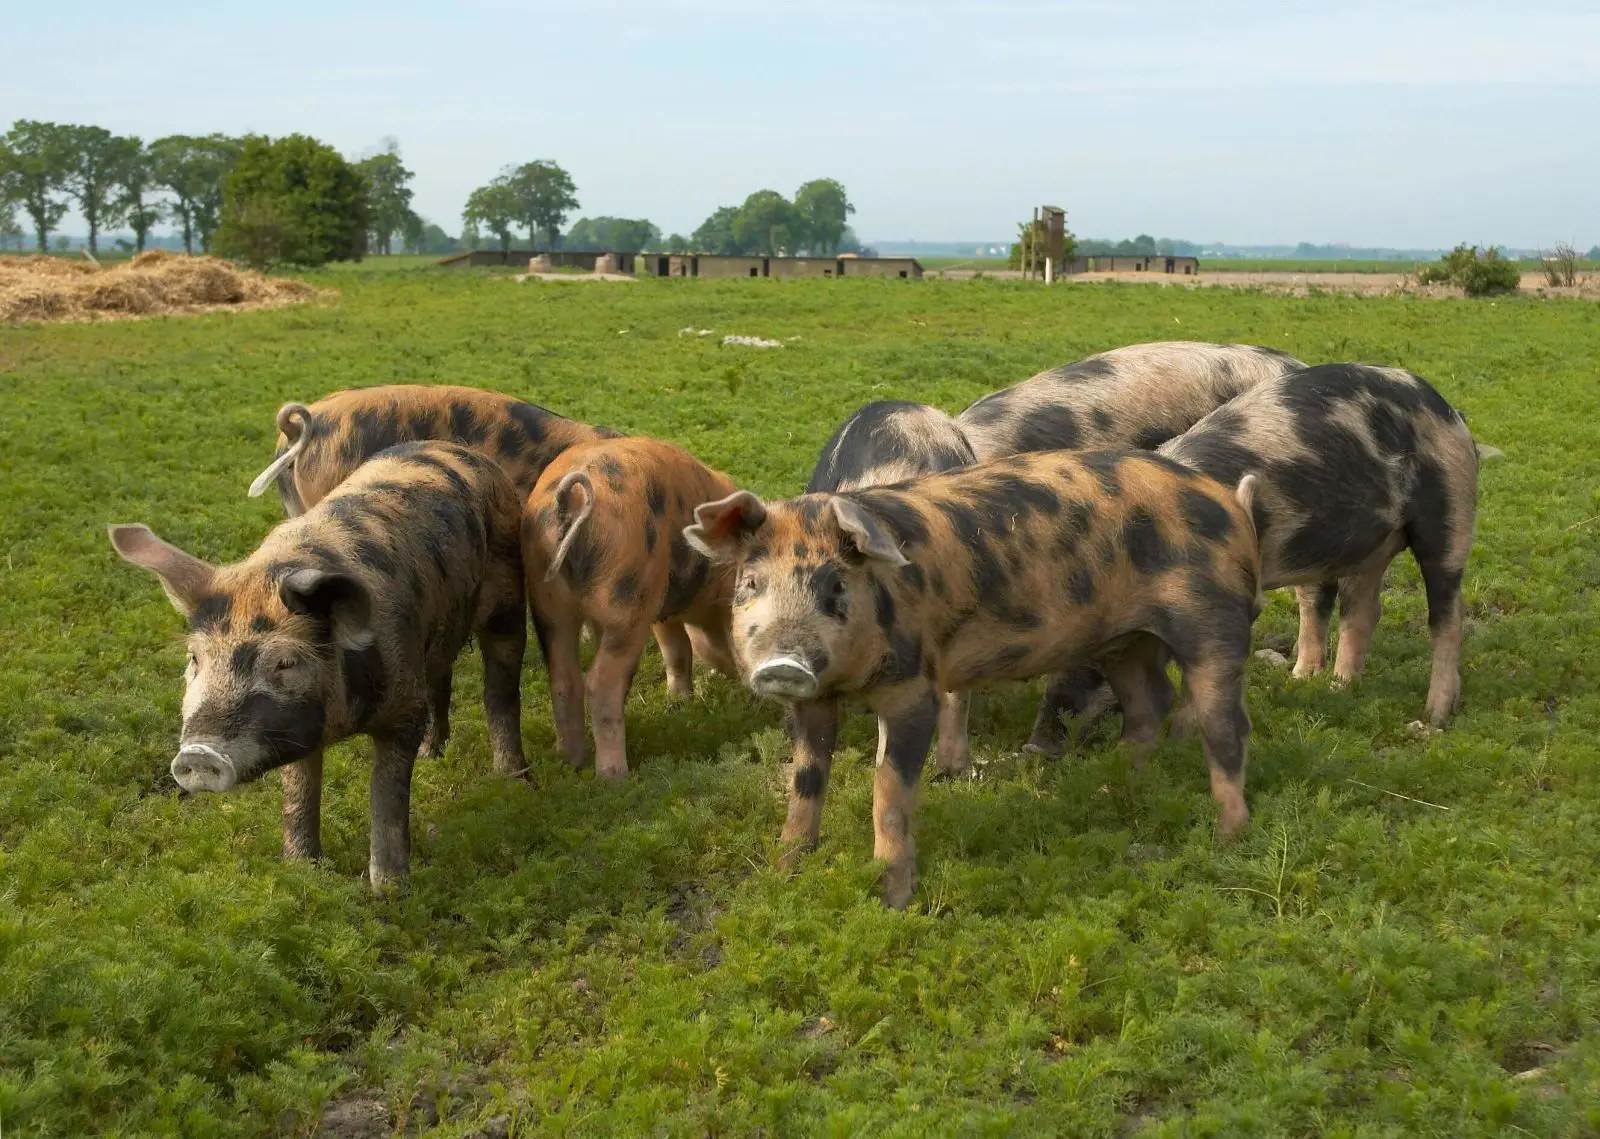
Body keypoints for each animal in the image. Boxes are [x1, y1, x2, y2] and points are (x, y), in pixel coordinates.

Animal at [109, 441, 527, 890]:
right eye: (195, 659)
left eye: (285, 663)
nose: (200, 753)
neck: (343, 722)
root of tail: (462, 451)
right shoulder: (297, 727)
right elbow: (299, 788)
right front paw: (301, 866)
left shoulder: (402, 707)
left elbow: (387, 791)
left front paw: (390, 890)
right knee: (441, 675)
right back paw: (434, 755)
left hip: (509, 598)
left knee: (501, 689)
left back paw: (515, 781)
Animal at [523, 437, 739, 779]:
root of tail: (571, 500)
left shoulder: (663, 608)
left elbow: (677, 649)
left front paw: (679, 702)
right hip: (629, 589)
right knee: (600, 683)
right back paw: (614, 776)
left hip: (546, 595)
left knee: (563, 678)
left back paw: (570, 761)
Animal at [684, 450, 1263, 908]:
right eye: (750, 583)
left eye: (834, 585)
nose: (783, 663)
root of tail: (1233, 504)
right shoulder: (813, 701)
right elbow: (804, 781)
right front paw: (783, 871)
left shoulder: (913, 689)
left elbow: (888, 790)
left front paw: (893, 901)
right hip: (1123, 640)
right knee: (1150, 702)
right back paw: (1110, 785)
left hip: (1214, 620)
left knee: (1228, 725)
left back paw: (1226, 839)